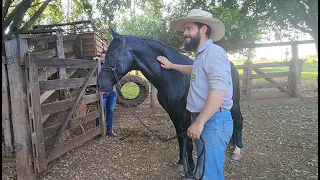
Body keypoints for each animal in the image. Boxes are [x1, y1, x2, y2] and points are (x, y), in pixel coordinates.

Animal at [97, 29, 242, 177]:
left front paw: (190, 170)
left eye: (113, 53)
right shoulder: (173, 113)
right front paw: (181, 163)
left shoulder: (185, 114)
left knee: (239, 120)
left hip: (235, 103)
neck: (172, 76)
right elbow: (180, 138)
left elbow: (188, 142)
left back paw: (237, 150)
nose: (100, 83)